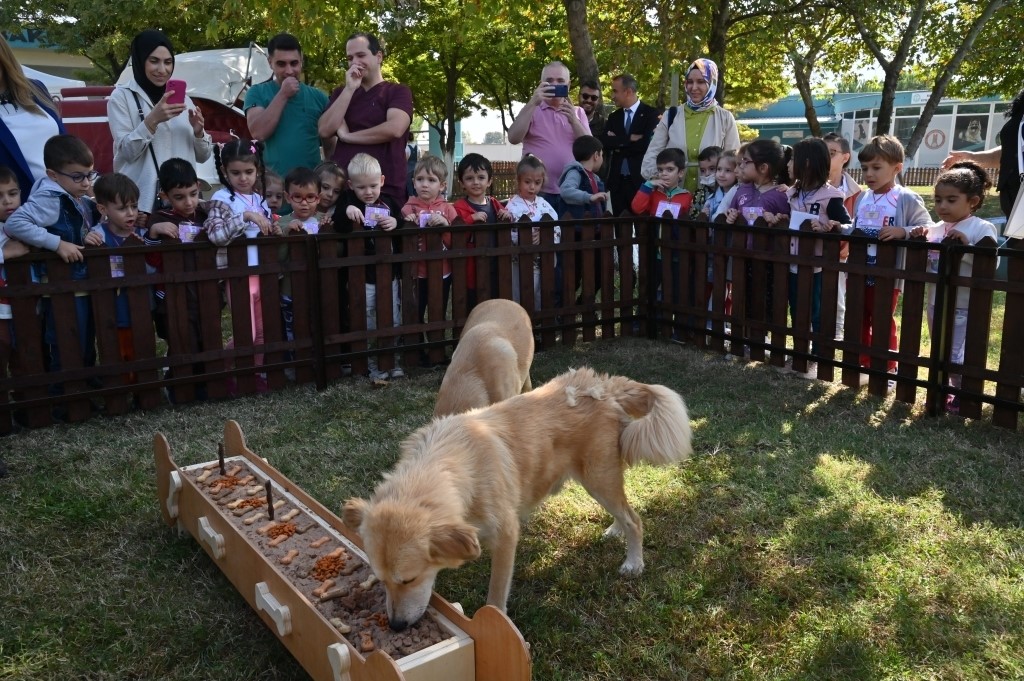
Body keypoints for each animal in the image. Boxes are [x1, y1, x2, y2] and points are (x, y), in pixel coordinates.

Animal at [339, 368, 692, 630]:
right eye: (381, 581)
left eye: (408, 579)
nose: (396, 626)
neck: (445, 464)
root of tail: (604, 385)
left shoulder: (506, 534)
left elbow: (496, 593)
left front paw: (495, 624)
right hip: (599, 481)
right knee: (623, 512)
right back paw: (616, 530)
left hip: (598, 478)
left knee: (634, 518)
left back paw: (634, 562)